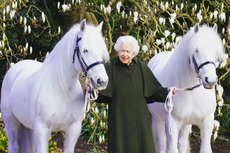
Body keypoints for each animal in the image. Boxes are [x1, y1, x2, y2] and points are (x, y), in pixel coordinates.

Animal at [0, 19, 109, 153]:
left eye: (101, 51)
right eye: (85, 50)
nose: (102, 81)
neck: (62, 91)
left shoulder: (73, 130)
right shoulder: (42, 130)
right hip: (10, 120)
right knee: (14, 146)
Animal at [147, 23, 225, 152]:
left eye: (215, 51)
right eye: (196, 50)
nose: (210, 80)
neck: (193, 93)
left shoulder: (207, 123)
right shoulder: (172, 125)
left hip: (186, 124)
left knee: (182, 144)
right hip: (157, 120)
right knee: (162, 143)